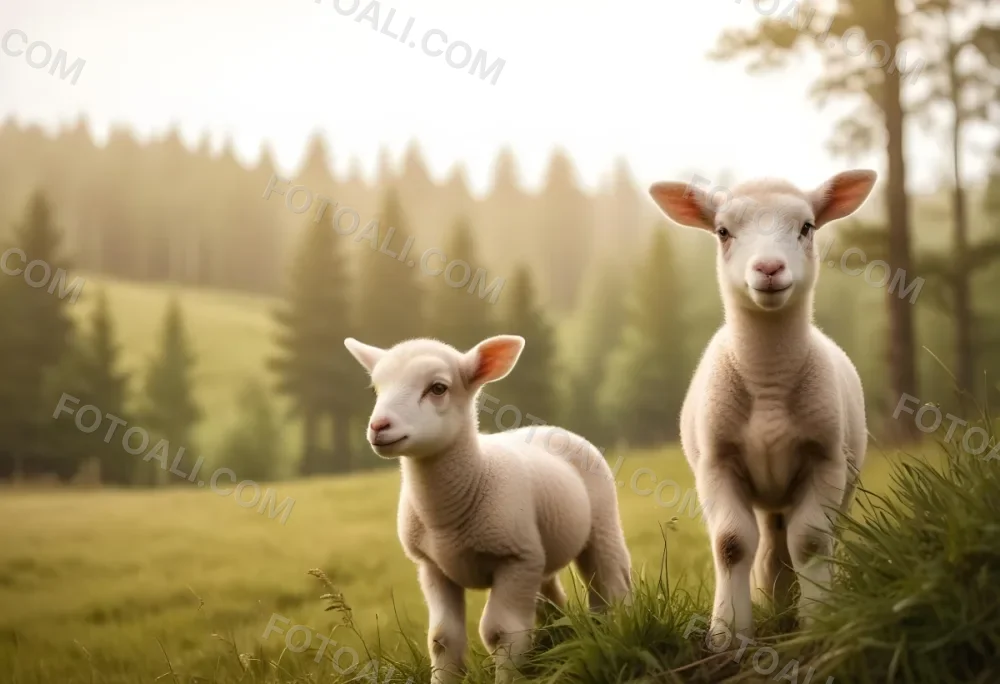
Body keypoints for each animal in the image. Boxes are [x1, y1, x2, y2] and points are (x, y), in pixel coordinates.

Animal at [343, 334, 632, 684]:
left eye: (438, 388)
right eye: (376, 389)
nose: (379, 426)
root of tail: (552, 428)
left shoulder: (514, 560)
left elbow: (501, 632)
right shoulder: (433, 567)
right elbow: (442, 638)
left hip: (601, 524)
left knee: (610, 584)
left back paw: (615, 627)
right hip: (539, 555)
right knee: (552, 601)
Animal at [647, 170, 874, 643]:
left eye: (807, 226)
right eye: (722, 231)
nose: (769, 269)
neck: (768, 381)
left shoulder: (824, 459)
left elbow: (811, 541)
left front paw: (819, 619)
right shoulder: (717, 463)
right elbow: (732, 544)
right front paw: (728, 632)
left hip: (842, 481)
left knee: (810, 539)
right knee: (770, 547)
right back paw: (775, 602)